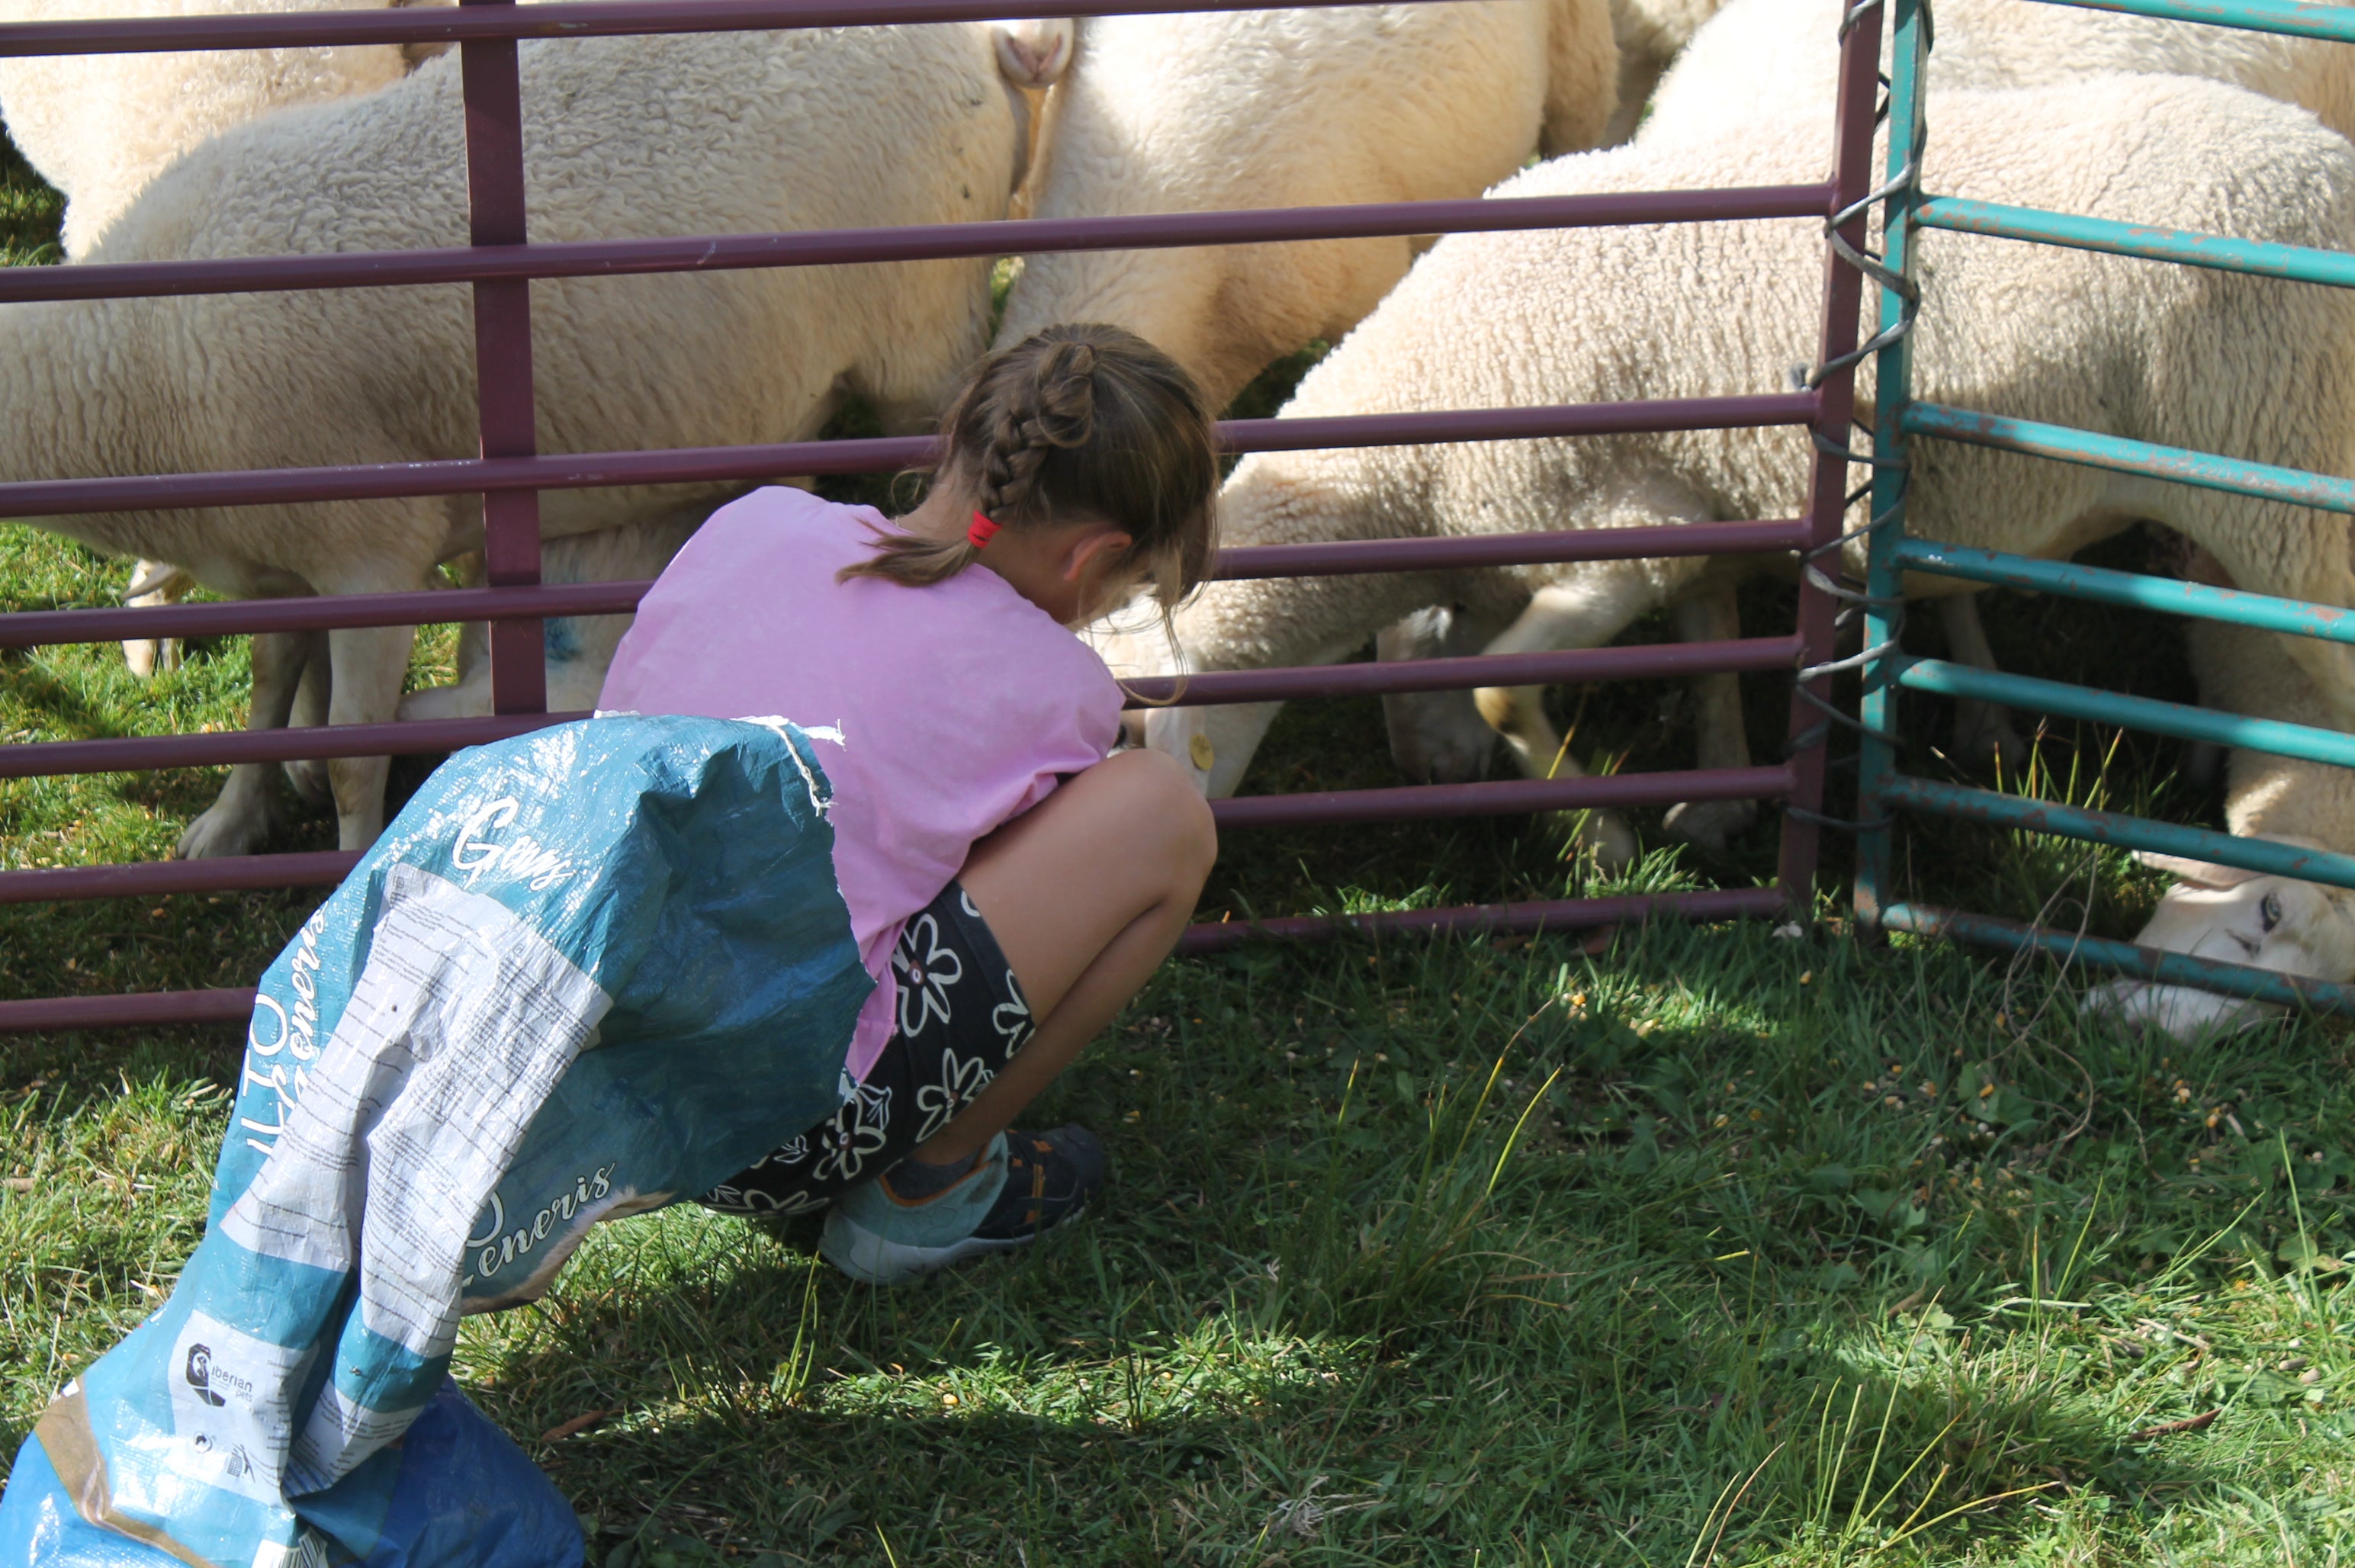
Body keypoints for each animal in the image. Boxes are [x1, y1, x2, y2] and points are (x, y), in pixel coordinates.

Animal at [9, 18, 1059, 856]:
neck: (122, 362)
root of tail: (983, 37)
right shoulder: (280, 550)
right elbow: (269, 696)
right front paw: (230, 823)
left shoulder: (372, 555)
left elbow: (354, 750)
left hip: (924, 346)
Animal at [1144, 73, 2355, 866]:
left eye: (1128, 733)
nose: (1426, 780)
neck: (1419, 460)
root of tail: (2327, 158)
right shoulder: (1704, 512)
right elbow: (1711, 654)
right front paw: (1719, 804)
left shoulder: (1618, 537)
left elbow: (1502, 683)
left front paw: (1604, 836)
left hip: (2296, 485)